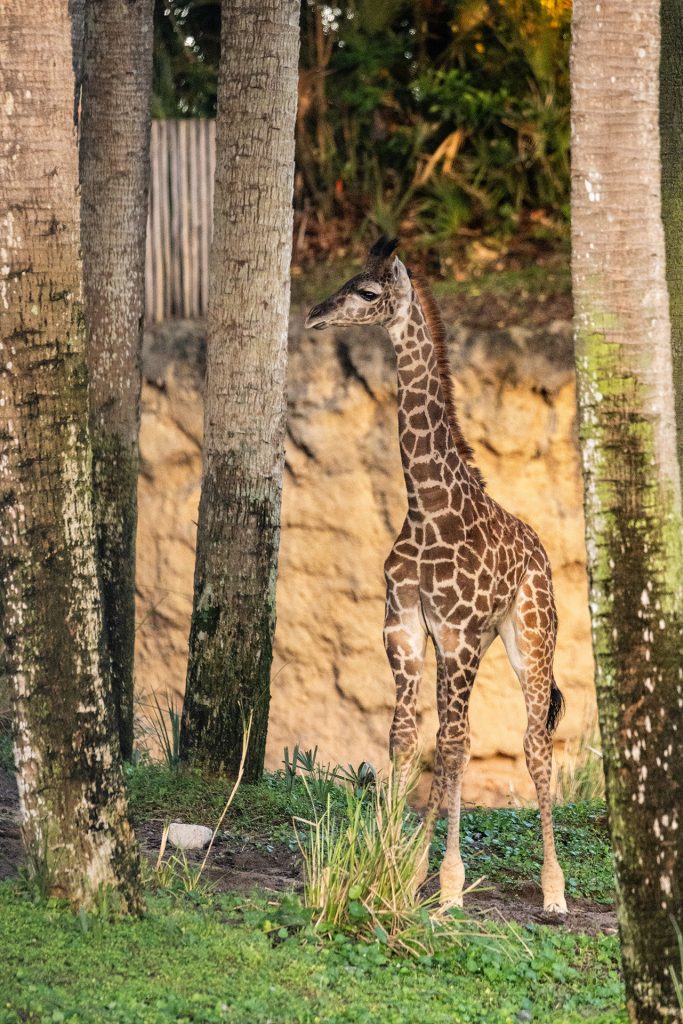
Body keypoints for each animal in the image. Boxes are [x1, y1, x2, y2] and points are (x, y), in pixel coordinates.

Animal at [304, 236, 567, 915]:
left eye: (368, 291)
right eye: (348, 279)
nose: (315, 313)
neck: (427, 506)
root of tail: (541, 551)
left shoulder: (458, 635)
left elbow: (448, 746)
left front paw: (443, 882)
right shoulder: (404, 629)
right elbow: (406, 739)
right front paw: (391, 863)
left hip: (529, 637)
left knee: (532, 742)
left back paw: (553, 892)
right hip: (480, 643)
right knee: (466, 740)